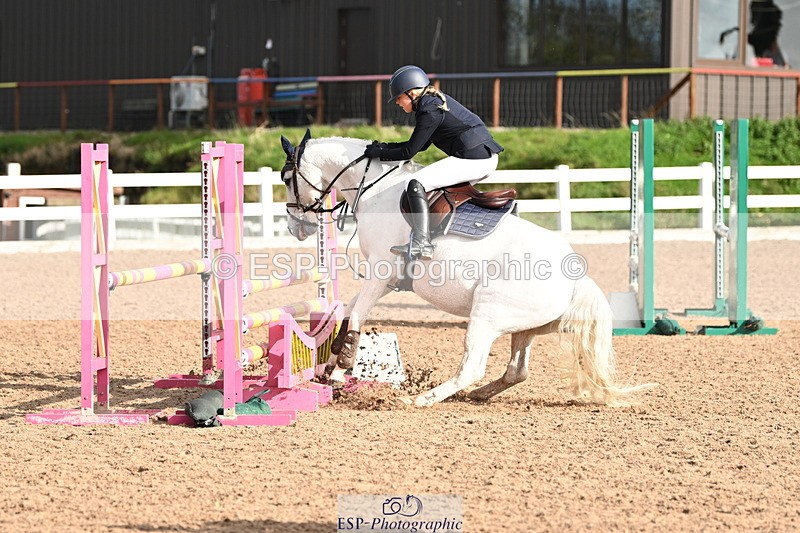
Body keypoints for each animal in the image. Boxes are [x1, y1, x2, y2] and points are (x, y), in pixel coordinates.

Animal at [279, 131, 654, 407]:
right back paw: (477, 395)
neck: (375, 190)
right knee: (517, 371)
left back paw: (419, 399)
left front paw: (338, 372)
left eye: (285, 178)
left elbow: (357, 315)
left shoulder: (381, 272)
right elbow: (350, 311)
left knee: (472, 367)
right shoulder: (386, 280)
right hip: (524, 328)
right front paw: (331, 366)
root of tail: (575, 277)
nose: (297, 228)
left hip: (486, 316)